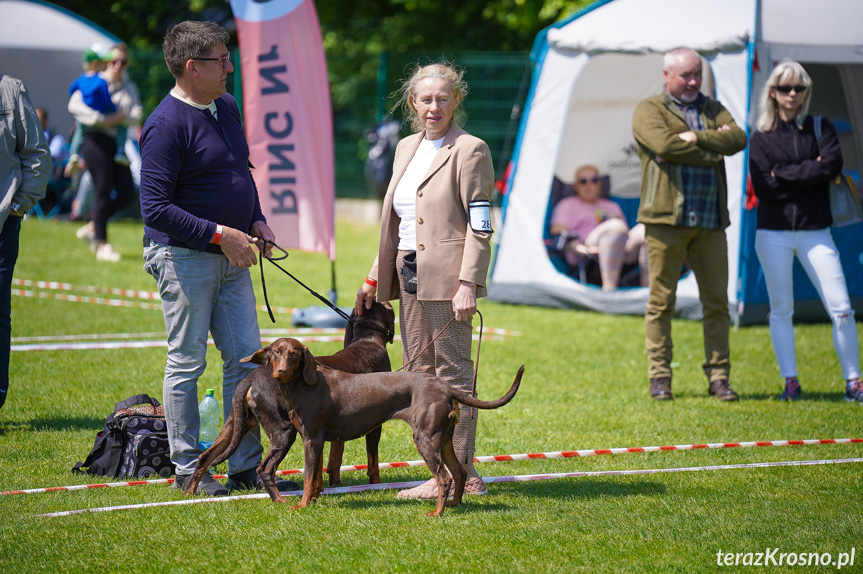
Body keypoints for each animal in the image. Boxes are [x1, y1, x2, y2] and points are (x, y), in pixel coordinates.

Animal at [186, 338, 524, 516]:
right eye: (275, 353)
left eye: (294, 353)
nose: (278, 371)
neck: (304, 386)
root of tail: (445, 386)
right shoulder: (317, 440)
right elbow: (317, 477)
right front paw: (313, 501)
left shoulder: (311, 439)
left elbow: (308, 479)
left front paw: (304, 505)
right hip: (442, 439)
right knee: (459, 473)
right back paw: (453, 505)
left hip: (425, 439)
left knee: (444, 476)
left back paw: (437, 512)